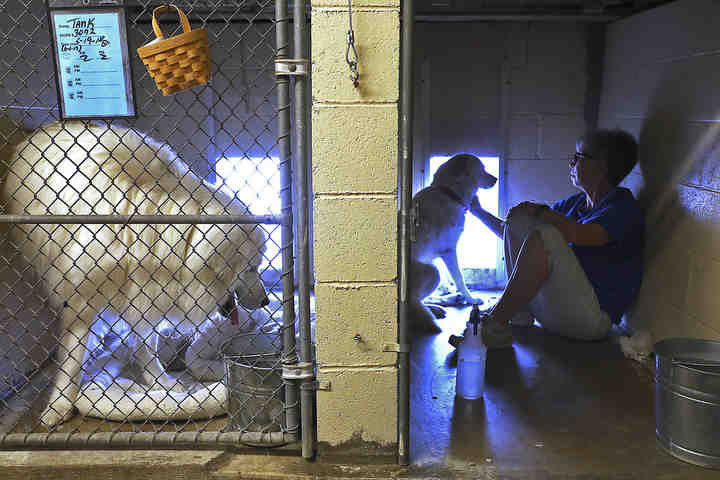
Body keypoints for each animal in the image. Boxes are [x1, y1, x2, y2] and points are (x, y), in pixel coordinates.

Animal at [0, 121, 268, 428]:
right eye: (251, 268)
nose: (267, 301)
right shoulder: (81, 298)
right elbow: (72, 357)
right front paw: (59, 404)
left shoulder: (143, 294)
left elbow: (145, 344)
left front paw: (162, 382)